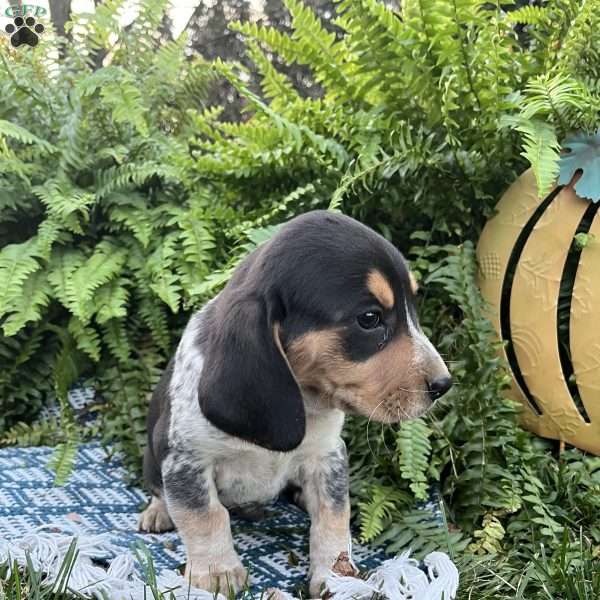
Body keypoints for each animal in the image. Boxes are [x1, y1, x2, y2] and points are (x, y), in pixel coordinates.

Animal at [139, 210, 450, 596]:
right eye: (369, 318)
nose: (444, 384)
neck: (304, 396)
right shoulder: (186, 460)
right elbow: (204, 515)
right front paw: (217, 572)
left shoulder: (328, 455)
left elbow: (333, 516)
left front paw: (335, 575)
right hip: (153, 455)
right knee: (158, 489)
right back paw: (158, 511)